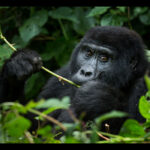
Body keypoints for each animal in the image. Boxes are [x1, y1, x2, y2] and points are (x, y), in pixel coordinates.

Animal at [0, 26, 149, 134]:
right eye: (88, 52)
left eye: (104, 58)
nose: (85, 72)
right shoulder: (63, 75)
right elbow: (29, 125)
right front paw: (17, 65)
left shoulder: (144, 83)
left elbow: (137, 130)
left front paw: (98, 98)